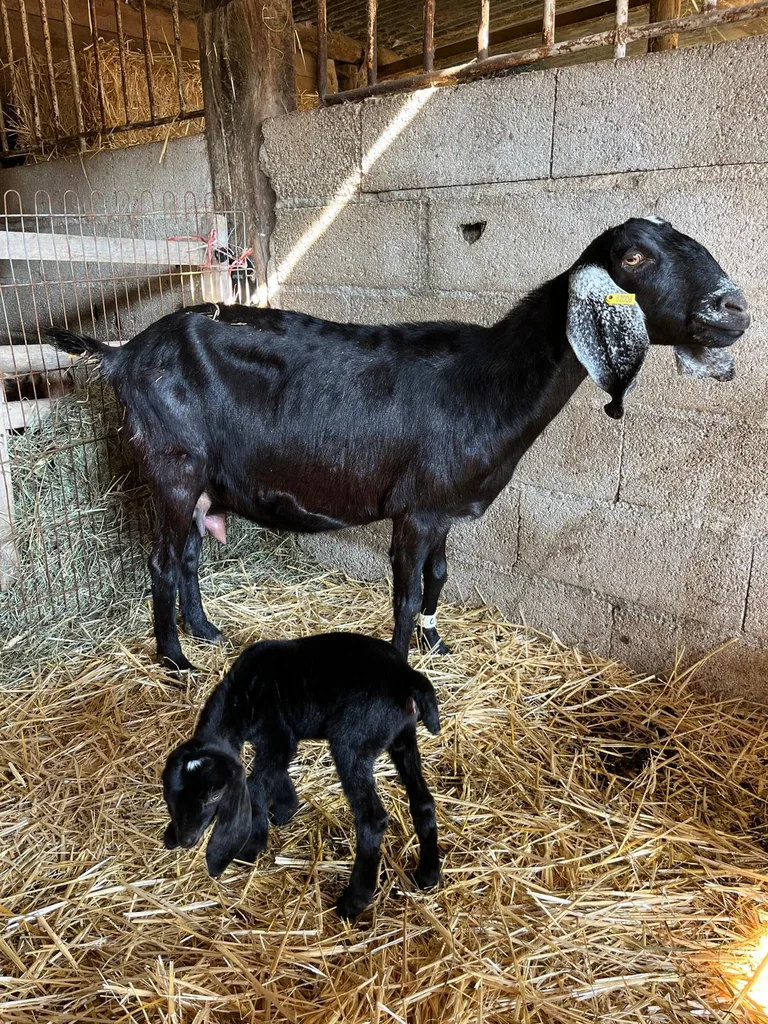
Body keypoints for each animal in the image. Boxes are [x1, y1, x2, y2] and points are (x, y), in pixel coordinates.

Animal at [46, 217, 751, 671]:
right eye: (633, 258)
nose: (734, 309)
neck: (487, 381)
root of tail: (124, 353)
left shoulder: (444, 508)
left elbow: (438, 577)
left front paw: (438, 647)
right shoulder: (414, 510)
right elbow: (407, 593)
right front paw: (401, 662)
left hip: (200, 480)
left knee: (190, 555)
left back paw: (206, 633)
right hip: (172, 466)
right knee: (163, 563)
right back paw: (175, 660)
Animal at [162, 631, 441, 919]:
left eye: (214, 794)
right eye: (172, 799)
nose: (186, 840)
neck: (239, 697)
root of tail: (406, 676)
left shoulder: (277, 736)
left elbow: (256, 785)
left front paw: (251, 846)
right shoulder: (279, 741)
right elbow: (274, 776)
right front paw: (285, 809)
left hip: (353, 743)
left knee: (372, 819)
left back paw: (353, 902)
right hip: (403, 738)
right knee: (423, 801)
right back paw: (428, 874)